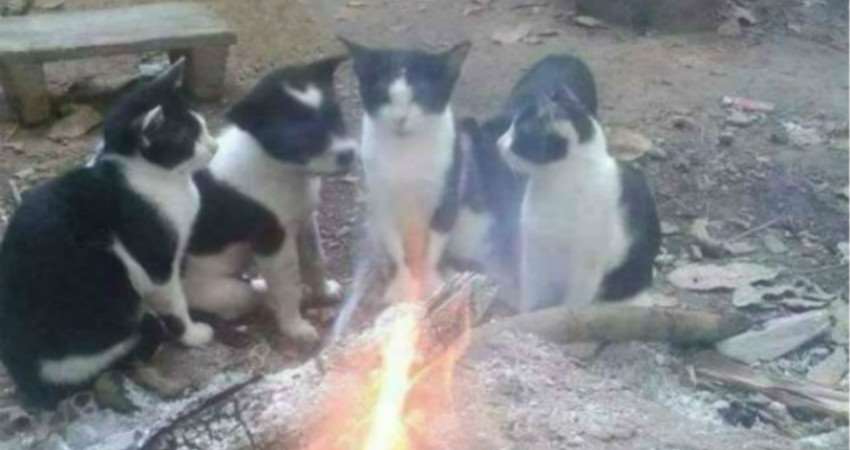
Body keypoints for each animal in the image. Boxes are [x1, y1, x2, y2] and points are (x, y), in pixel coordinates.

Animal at [0, 59, 216, 408]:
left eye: (202, 124)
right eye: (188, 138)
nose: (214, 146)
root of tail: (28, 378)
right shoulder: (154, 258)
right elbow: (174, 299)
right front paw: (193, 333)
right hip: (105, 270)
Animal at [184, 56, 355, 347]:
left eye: (336, 116)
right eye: (302, 135)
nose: (350, 155)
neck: (282, 168)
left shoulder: (305, 220)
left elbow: (315, 260)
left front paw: (322, 292)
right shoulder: (273, 241)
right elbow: (288, 285)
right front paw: (295, 327)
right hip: (225, 291)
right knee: (249, 300)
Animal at [341, 38, 471, 303]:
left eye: (420, 96)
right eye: (383, 95)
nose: (400, 118)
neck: (406, 152)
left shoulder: (447, 188)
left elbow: (436, 236)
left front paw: (430, 281)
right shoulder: (380, 197)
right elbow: (393, 241)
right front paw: (402, 282)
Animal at [495, 54, 660, 311]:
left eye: (519, 137)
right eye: (509, 128)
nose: (499, 143)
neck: (557, 183)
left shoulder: (585, 266)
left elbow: (573, 303)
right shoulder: (535, 254)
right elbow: (533, 295)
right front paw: (529, 313)